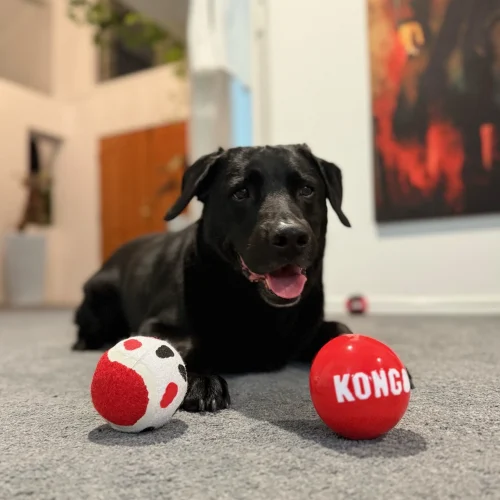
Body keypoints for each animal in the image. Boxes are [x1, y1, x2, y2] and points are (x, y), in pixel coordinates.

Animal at [72, 144, 412, 410]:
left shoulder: (310, 326)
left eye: (306, 189)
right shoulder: (156, 324)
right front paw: (200, 379)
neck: (257, 307)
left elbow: (341, 329)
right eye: (240, 193)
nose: (290, 236)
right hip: (100, 295)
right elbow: (178, 345)